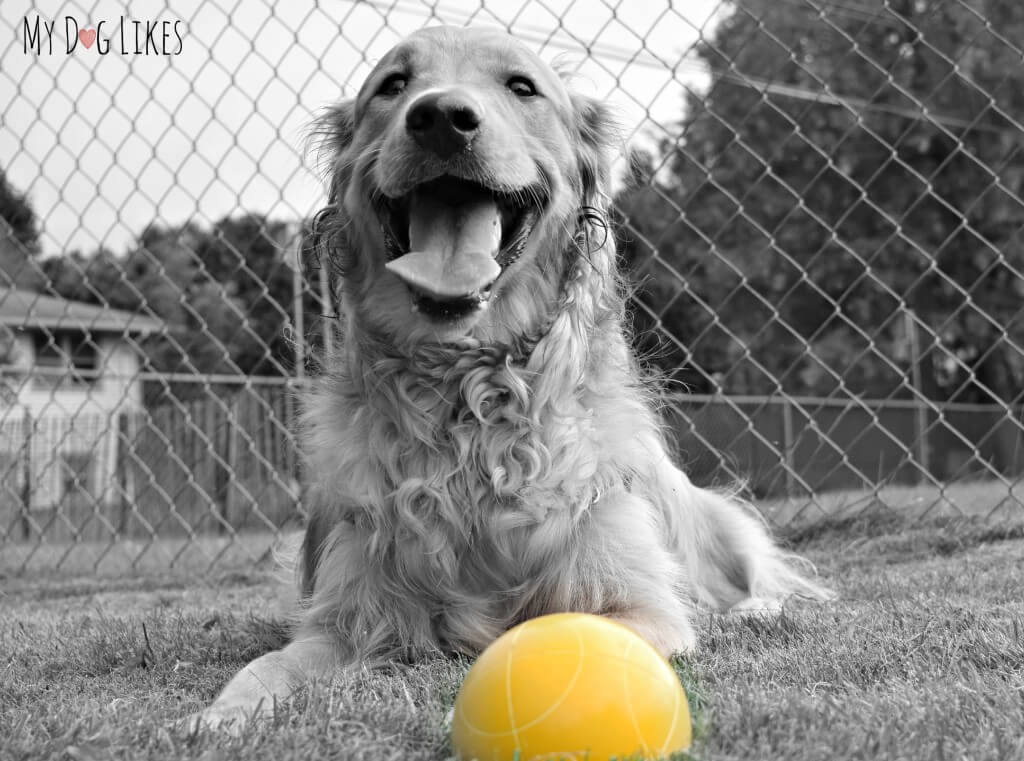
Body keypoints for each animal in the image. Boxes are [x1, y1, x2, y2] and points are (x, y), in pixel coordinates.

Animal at [195, 22, 827, 725]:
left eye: (521, 87)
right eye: (393, 84)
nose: (442, 118)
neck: (468, 398)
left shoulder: (638, 608)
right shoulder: (340, 618)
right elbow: (266, 667)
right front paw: (219, 716)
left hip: (719, 519)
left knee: (760, 578)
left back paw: (758, 609)